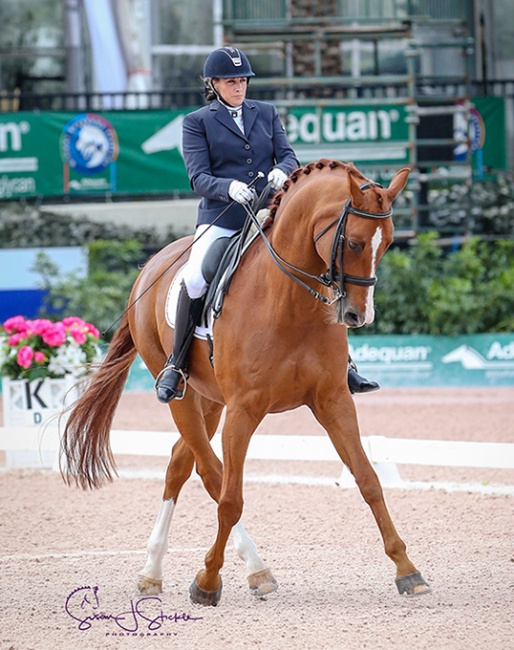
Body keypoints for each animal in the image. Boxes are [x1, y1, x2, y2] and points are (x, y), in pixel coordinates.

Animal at [61, 159, 428, 604]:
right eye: (355, 243)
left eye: (387, 243)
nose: (359, 316)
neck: (290, 301)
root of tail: (151, 265)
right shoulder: (243, 411)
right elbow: (230, 497)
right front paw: (206, 582)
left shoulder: (333, 400)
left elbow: (368, 480)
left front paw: (408, 570)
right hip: (183, 396)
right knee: (210, 472)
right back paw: (251, 568)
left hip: (210, 400)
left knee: (180, 463)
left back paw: (154, 572)